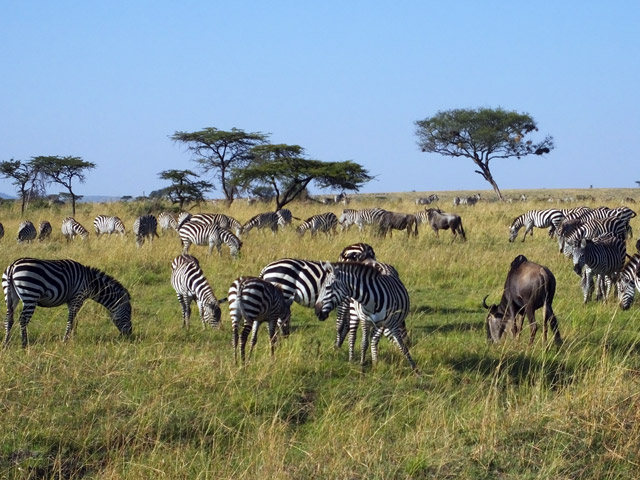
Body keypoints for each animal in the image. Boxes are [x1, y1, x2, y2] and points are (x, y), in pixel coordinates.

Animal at [1, 256, 132, 346]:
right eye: (129, 312)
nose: (129, 334)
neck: (90, 282)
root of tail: (13, 265)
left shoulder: (71, 301)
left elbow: (73, 320)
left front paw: (72, 337)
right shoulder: (78, 298)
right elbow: (71, 319)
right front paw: (65, 340)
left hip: (10, 296)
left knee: (8, 319)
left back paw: (6, 343)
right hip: (30, 294)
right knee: (23, 320)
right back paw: (24, 344)